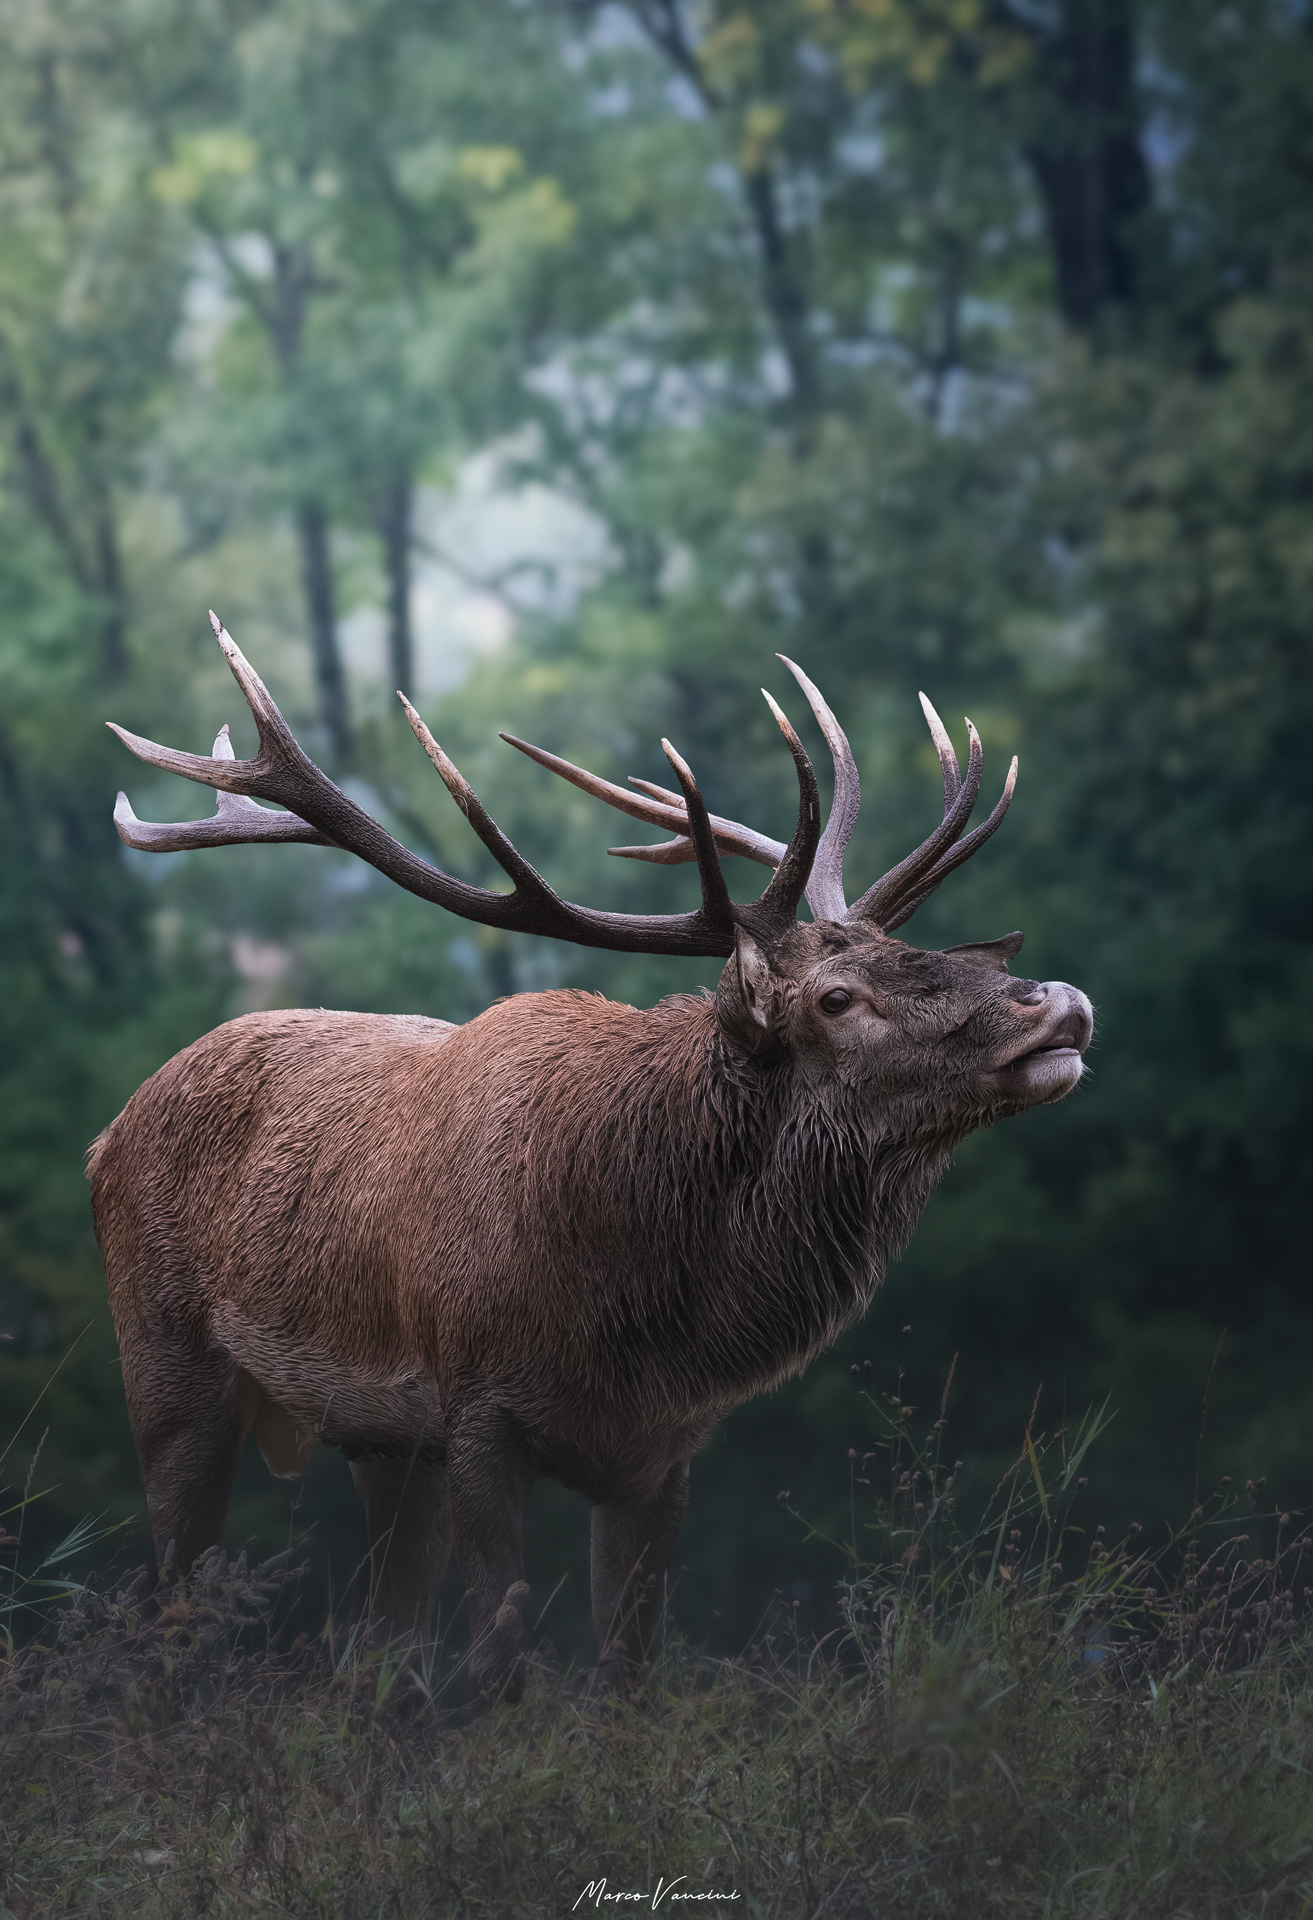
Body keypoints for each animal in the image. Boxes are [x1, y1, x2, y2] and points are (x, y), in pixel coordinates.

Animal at [89, 613, 1092, 1703]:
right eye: (835, 999)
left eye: (923, 952)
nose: (1056, 1001)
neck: (631, 1315)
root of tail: (107, 1132)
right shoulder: (475, 1409)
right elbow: (501, 1652)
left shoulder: (662, 1450)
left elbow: (628, 1672)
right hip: (167, 1362)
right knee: (172, 1608)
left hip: (378, 1444)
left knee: (374, 1648)